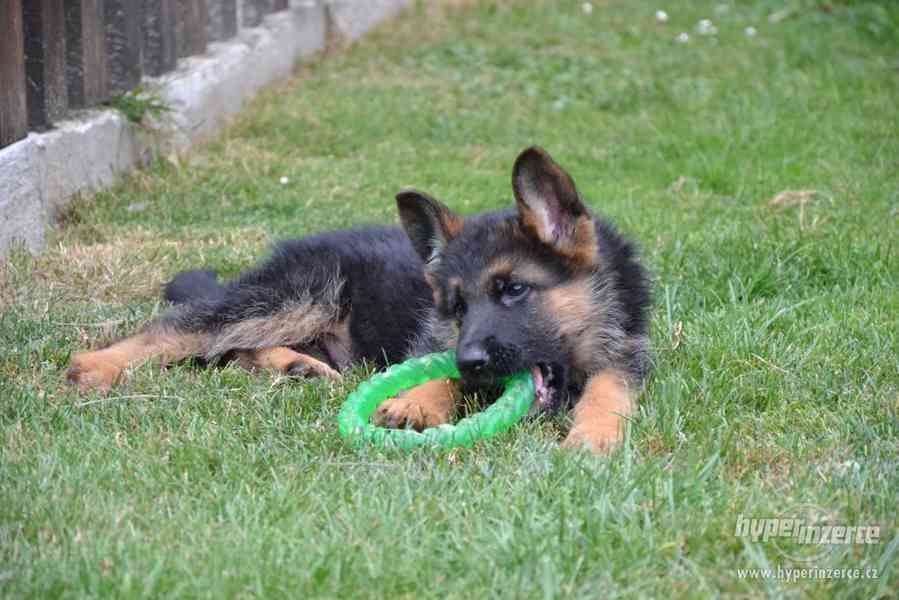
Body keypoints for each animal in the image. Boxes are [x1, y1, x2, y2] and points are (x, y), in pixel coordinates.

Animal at [67, 148, 652, 452]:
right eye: (457, 308)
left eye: (513, 290)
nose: (470, 360)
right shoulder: (435, 341)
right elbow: (435, 370)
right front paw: (417, 400)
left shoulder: (627, 357)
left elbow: (609, 390)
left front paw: (594, 435)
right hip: (300, 294)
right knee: (184, 330)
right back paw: (94, 367)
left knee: (231, 349)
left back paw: (296, 367)